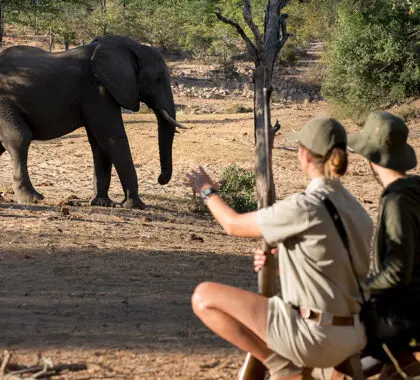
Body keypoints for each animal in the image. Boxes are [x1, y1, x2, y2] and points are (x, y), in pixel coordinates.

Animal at [0, 34, 185, 209]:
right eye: (158, 79)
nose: (160, 178)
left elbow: (99, 143)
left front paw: (102, 203)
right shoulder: (96, 91)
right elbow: (112, 137)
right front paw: (136, 205)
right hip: (4, 102)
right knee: (20, 138)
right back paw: (32, 198)